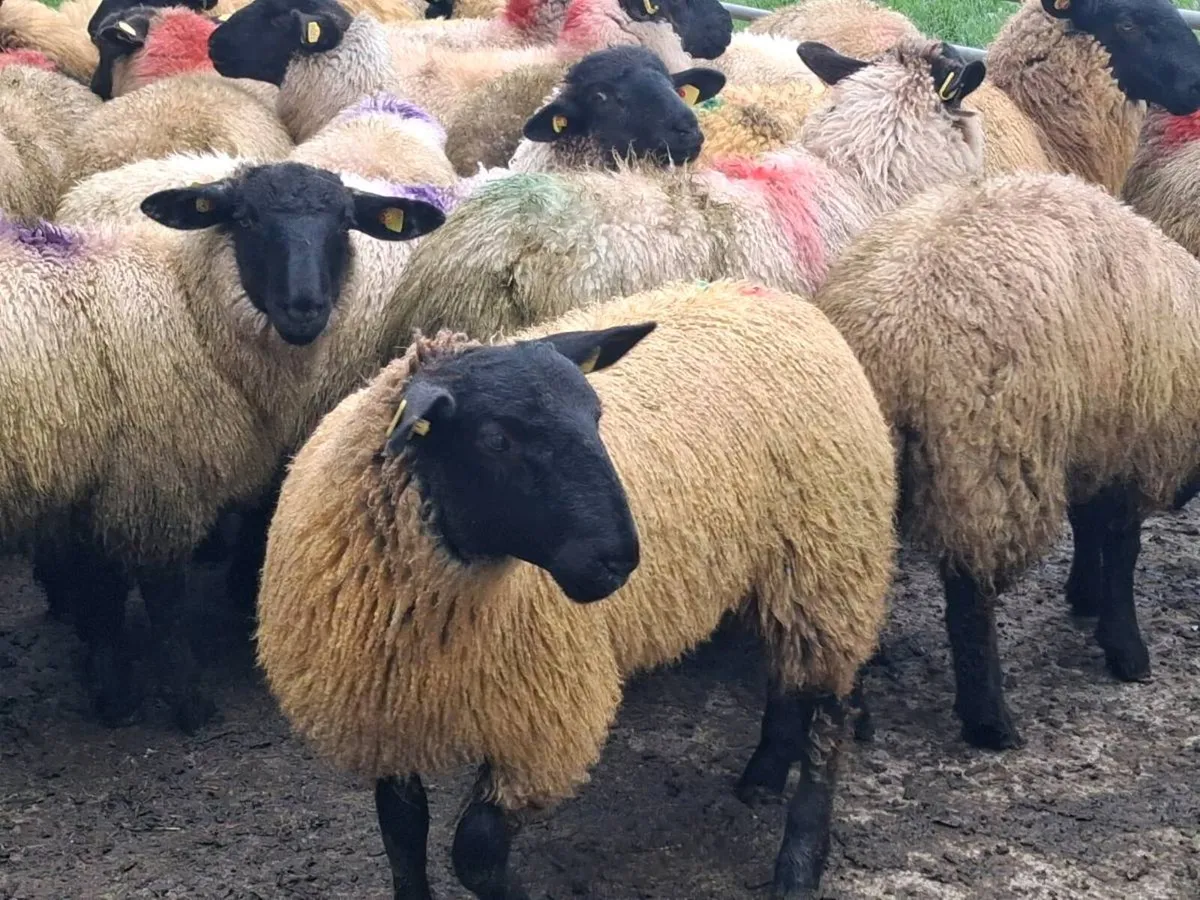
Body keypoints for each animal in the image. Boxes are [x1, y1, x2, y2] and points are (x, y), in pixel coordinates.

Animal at [9, 161, 447, 732]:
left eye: (344, 220)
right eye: (246, 218)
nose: (305, 308)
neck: (186, 306)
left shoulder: (96, 479)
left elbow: (105, 588)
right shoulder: (147, 475)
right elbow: (156, 597)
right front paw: (173, 699)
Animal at [255, 278, 897, 900]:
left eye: (596, 414)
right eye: (495, 439)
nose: (621, 559)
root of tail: (775, 297)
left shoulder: (542, 727)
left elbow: (475, 851)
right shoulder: (384, 718)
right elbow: (403, 838)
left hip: (833, 564)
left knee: (828, 719)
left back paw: (799, 864)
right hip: (792, 571)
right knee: (789, 680)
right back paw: (763, 774)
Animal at [810, 170, 1200, 752]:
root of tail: (889, 337)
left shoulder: (1091, 433)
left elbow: (1089, 526)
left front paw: (1083, 595)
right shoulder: (1131, 444)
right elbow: (1121, 549)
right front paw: (1126, 650)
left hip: (863, 475)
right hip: (986, 462)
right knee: (970, 600)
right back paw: (989, 720)